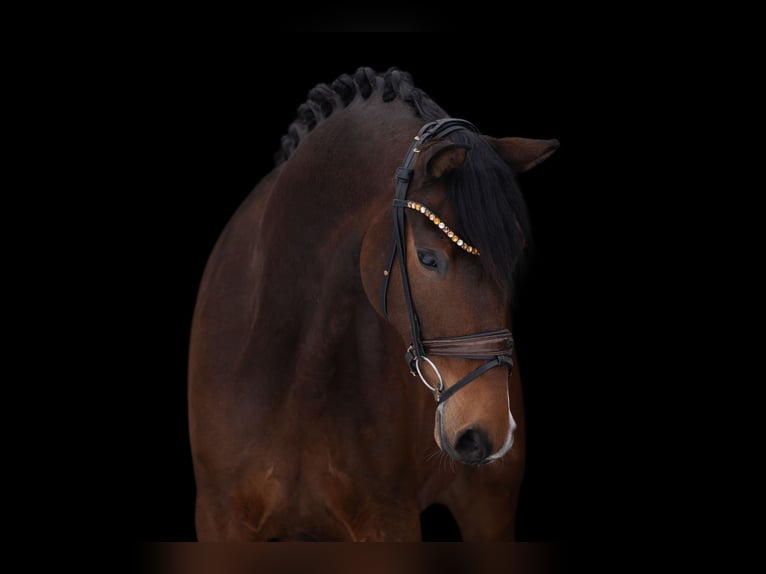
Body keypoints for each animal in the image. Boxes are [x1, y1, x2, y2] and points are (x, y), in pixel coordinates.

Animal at [188, 66, 558, 541]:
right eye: (428, 258)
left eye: (510, 260)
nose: (488, 431)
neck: (294, 369)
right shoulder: (220, 518)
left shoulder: (389, 519)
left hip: (488, 504)